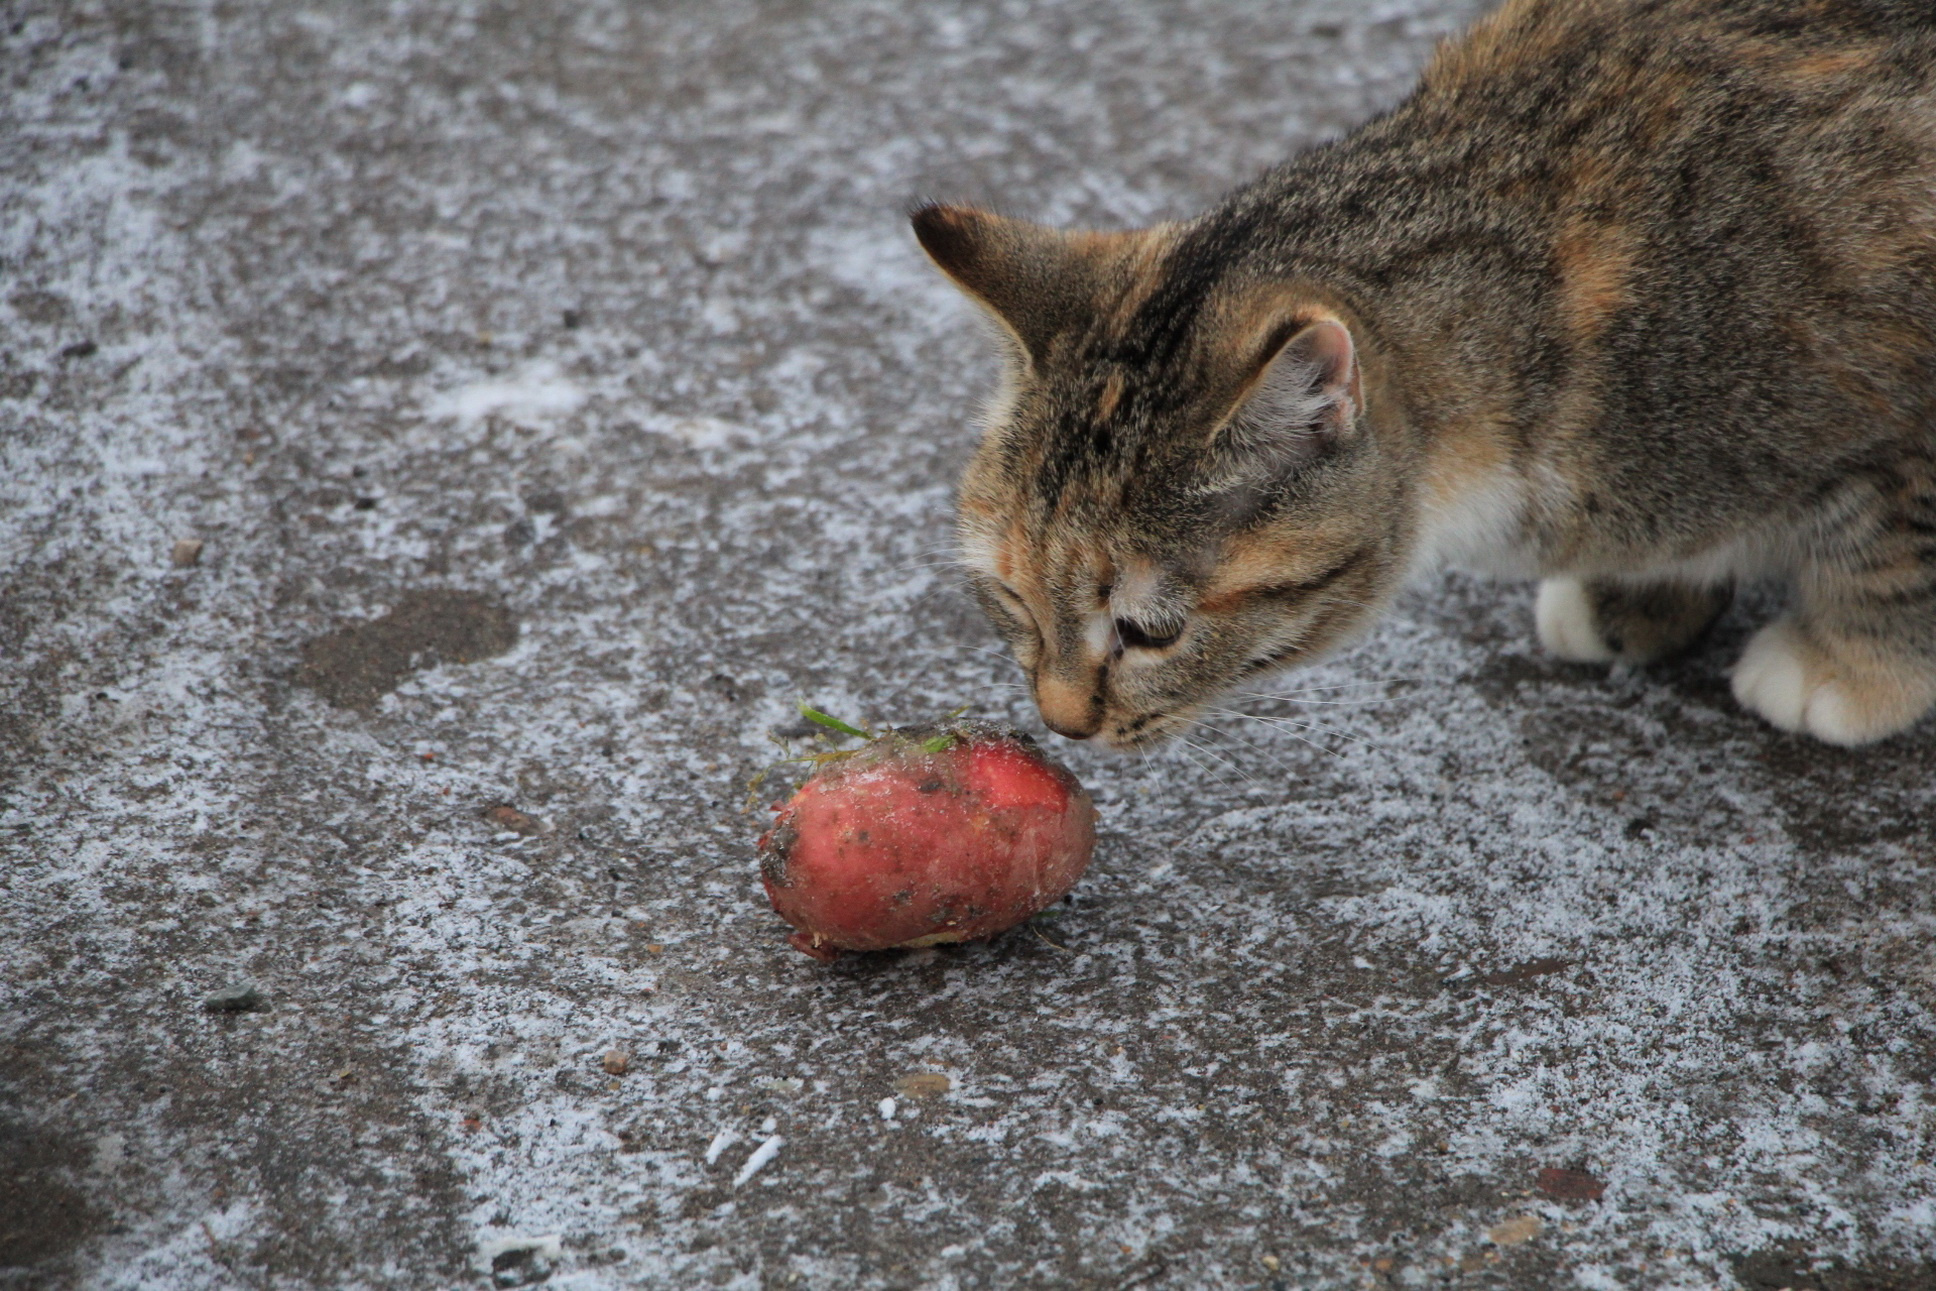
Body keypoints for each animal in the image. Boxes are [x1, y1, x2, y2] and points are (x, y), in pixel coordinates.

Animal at [909, 0, 1936, 747]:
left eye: (1151, 633)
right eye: (1012, 599)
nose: (1060, 724)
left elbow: (1891, 548)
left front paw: (1855, 666)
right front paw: (1643, 592)